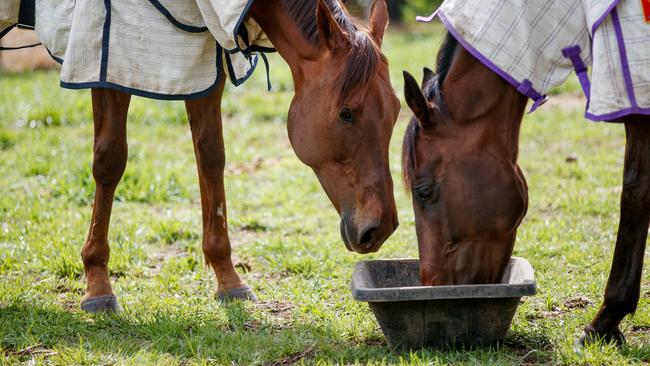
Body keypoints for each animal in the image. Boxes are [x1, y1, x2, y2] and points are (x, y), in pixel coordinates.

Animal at [78, 0, 398, 312]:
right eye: (346, 113)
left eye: (396, 110)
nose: (382, 227)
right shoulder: (109, 64)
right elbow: (109, 161)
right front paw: (98, 282)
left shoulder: (207, 62)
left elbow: (210, 156)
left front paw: (228, 278)